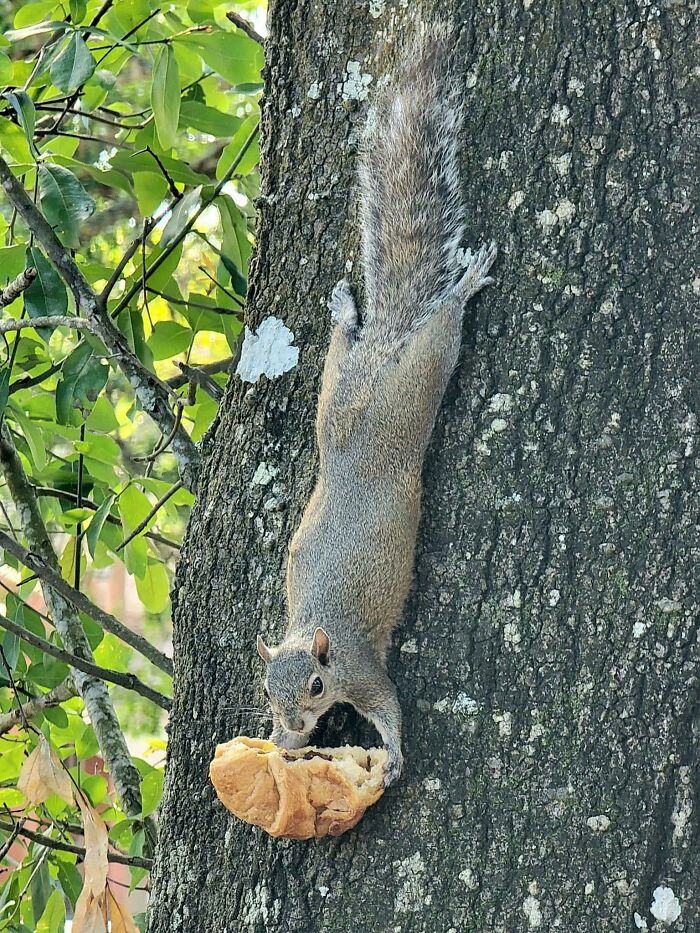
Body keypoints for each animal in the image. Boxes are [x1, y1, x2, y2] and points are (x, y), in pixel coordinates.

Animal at [255, 28, 496, 787]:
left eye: (315, 686)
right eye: (265, 689)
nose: (291, 726)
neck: (317, 633)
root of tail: (385, 349)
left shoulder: (361, 668)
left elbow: (389, 707)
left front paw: (391, 758)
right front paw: (280, 750)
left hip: (412, 390)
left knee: (439, 337)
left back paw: (463, 287)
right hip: (336, 399)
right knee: (342, 357)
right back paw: (344, 311)